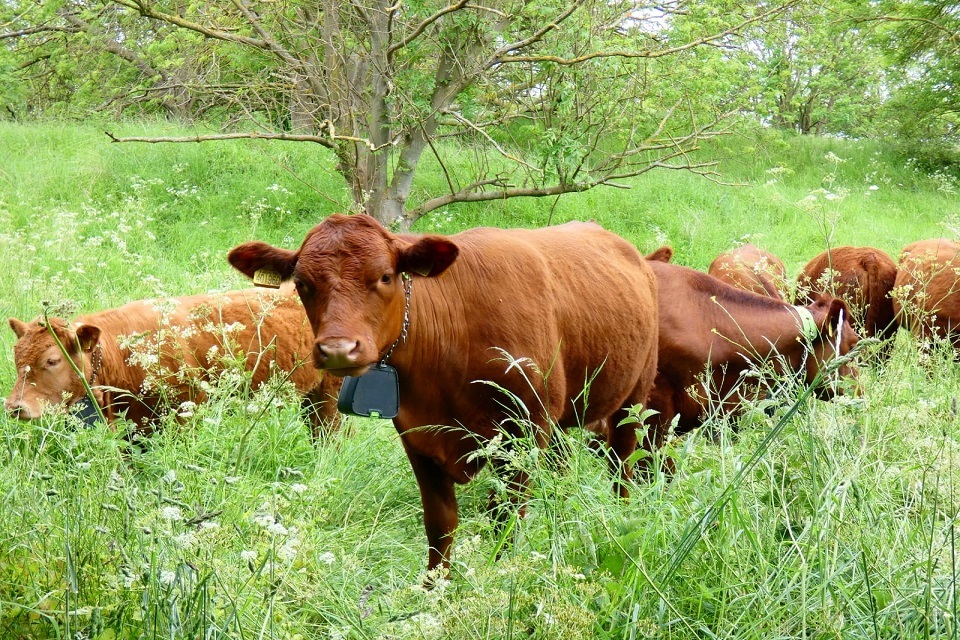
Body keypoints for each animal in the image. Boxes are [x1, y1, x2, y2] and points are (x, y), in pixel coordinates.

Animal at [227, 214, 660, 576]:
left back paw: (622, 517)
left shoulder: (526, 431)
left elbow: (505, 518)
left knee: (622, 465)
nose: (337, 349)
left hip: (632, 399)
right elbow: (440, 523)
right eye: (302, 283)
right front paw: (435, 589)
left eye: (385, 276)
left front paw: (500, 576)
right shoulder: (418, 435)